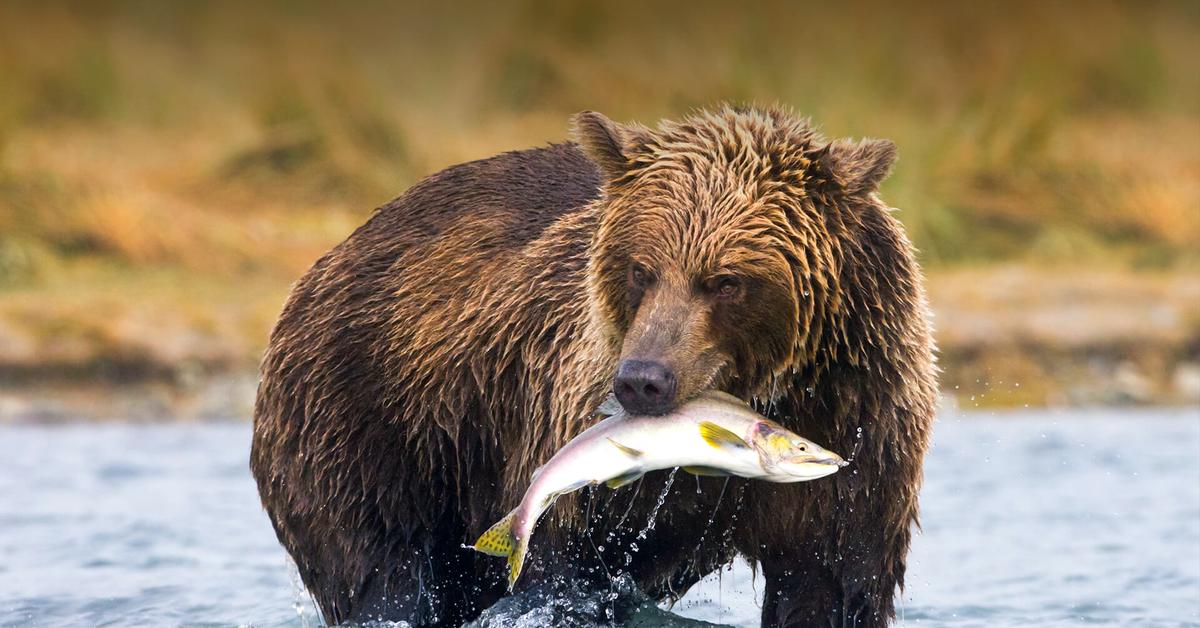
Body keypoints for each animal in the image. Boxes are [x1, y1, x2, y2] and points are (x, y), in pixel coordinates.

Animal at [250, 105, 936, 624]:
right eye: (641, 268)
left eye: (726, 282)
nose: (642, 381)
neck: (770, 388)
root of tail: (332, 255)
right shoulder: (568, 418)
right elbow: (564, 570)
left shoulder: (861, 422)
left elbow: (833, 580)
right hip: (371, 423)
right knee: (383, 573)